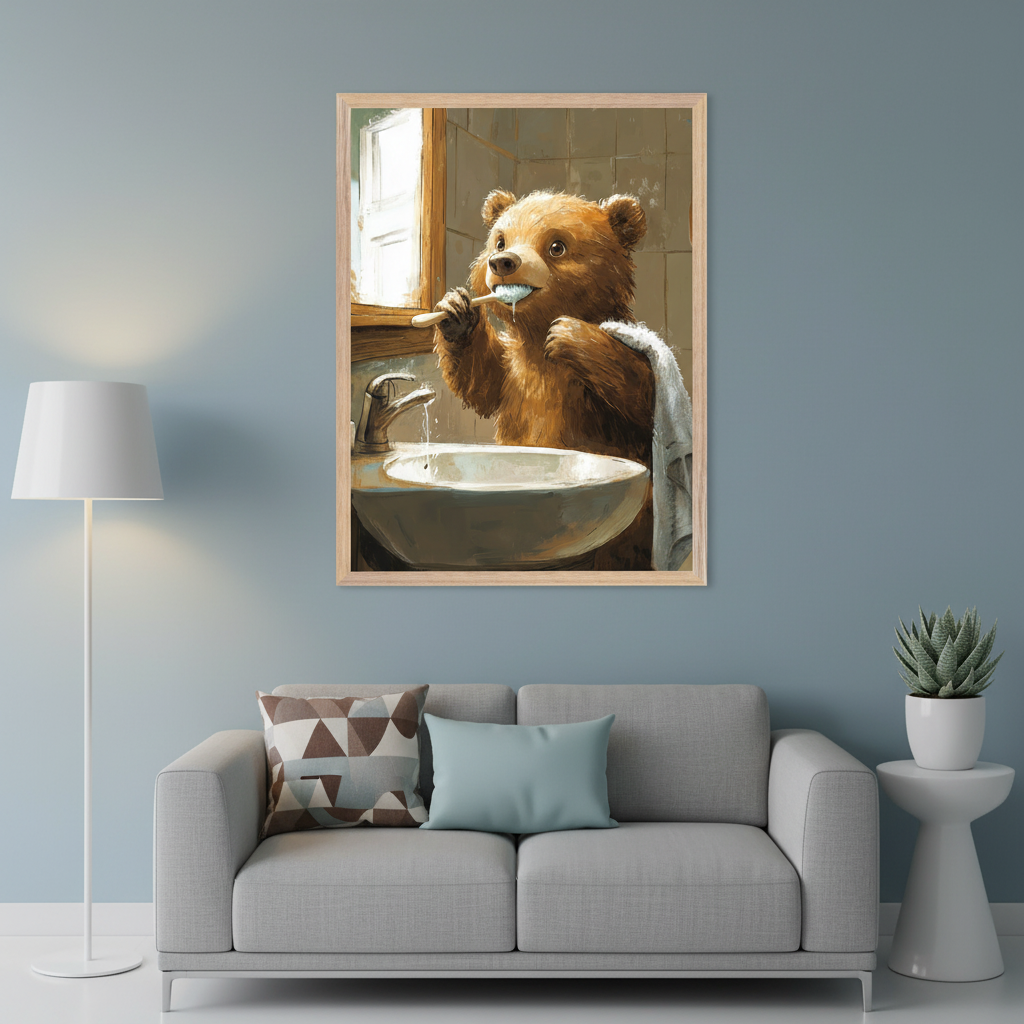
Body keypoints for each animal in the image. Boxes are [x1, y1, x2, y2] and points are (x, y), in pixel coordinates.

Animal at [431, 188, 657, 570]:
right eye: (500, 239)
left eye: (557, 246)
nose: (503, 262)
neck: (535, 337)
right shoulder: (515, 373)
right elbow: (483, 386)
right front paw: (456, 312)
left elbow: (644, 398)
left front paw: (570, 335)